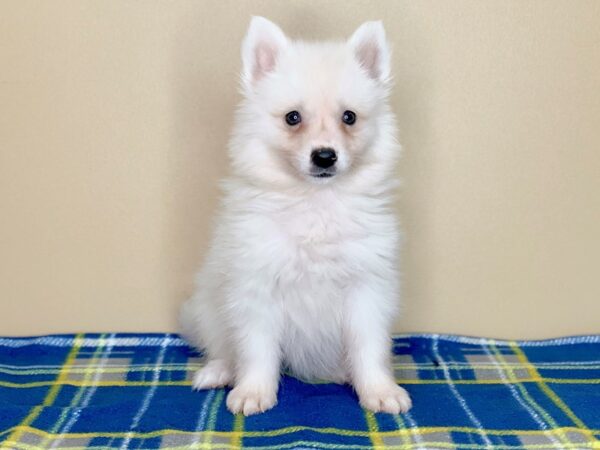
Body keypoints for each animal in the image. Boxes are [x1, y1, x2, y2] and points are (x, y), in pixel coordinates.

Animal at [179, 15, 412, 416]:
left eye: (349, 117)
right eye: (292, 118)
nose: (325, 156)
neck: (315, 202)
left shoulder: (366, 287)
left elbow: (368, 348)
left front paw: (379, 390)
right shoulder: (256, 287)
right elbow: (256, 349)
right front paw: (254, 391)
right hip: (209, 306)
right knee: (223, 346)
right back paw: (219, 371)